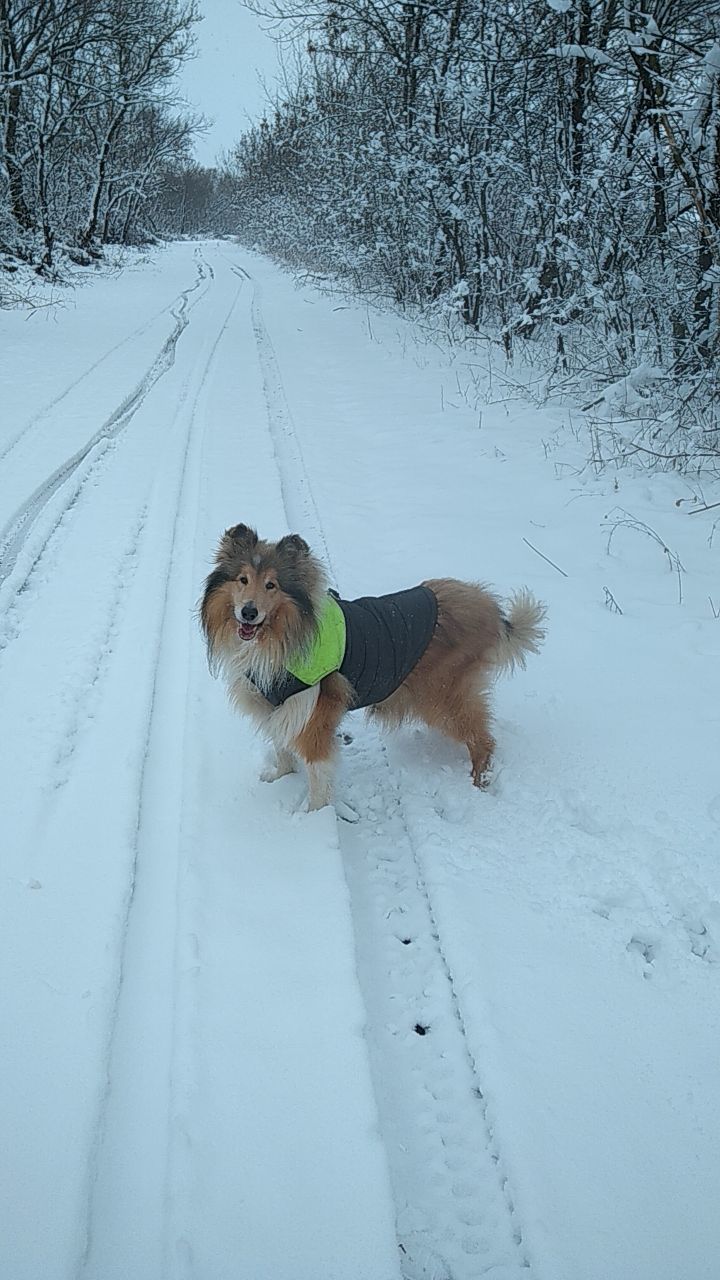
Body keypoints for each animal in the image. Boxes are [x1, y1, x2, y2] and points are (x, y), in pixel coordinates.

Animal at [197, 524, 543, 814]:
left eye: (271, 585)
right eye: (242, 580)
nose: (248, 612)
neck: (280, 636)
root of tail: (491, 610)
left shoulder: (312, 715)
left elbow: (317, 774)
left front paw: (313, 819)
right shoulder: (279, 707)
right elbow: (281, 748)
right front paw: (279, 778)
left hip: (443, 698)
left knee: (484, 740)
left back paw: (478, 783)